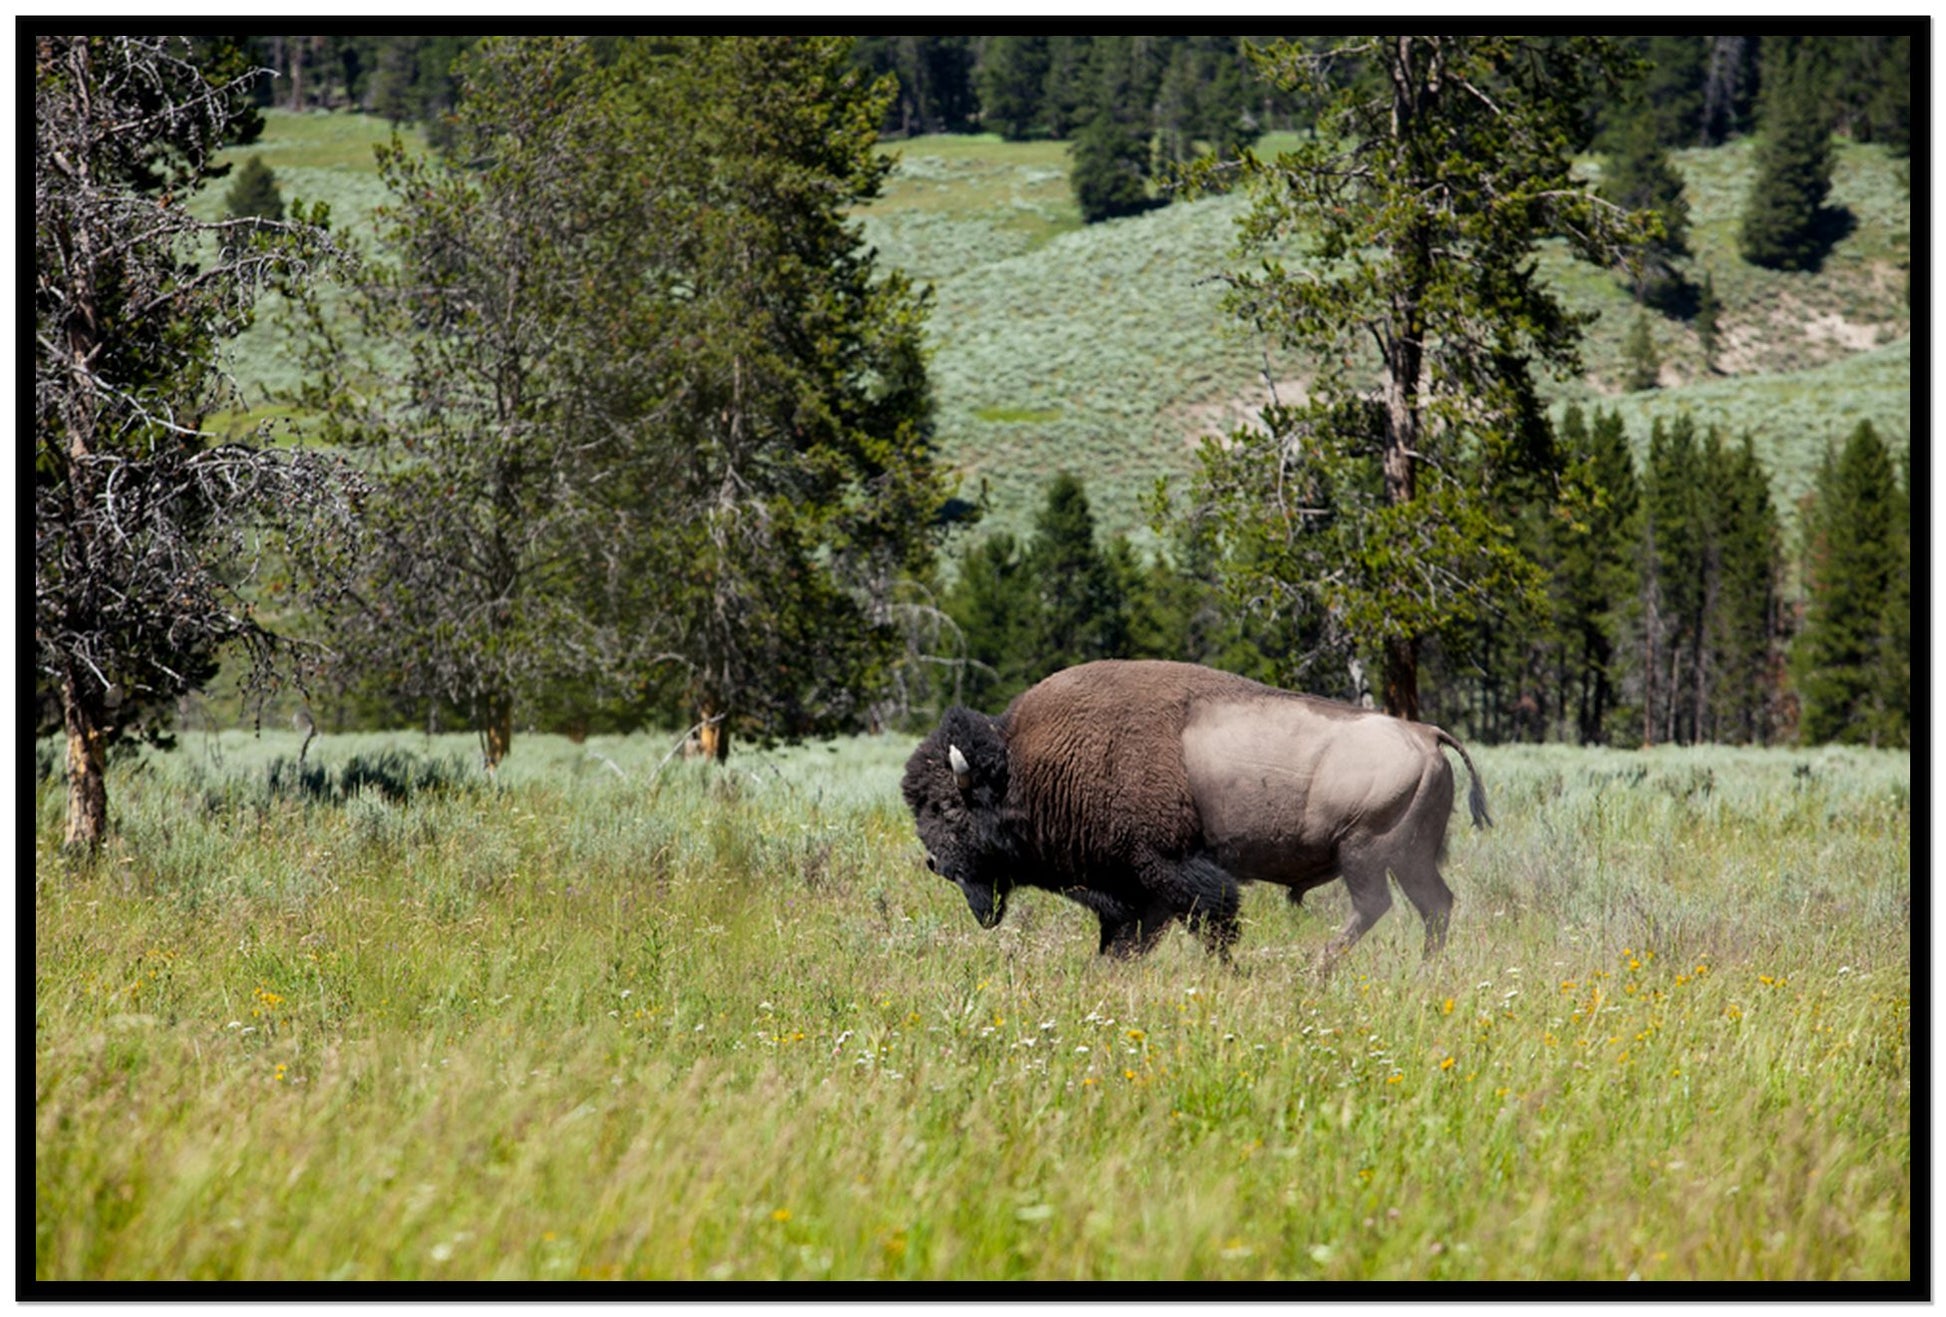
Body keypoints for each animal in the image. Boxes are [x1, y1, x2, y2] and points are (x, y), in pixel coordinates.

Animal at [902, 659, 1490, 964]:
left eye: (949, 809)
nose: (934, 863)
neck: (1026, 766)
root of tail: (1425, 734)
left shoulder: (1169, 870)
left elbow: (1212, 922)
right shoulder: (1135, 891)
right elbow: (1127, 940)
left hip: (1365, 853)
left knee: (1376, 907)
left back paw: (1316, 969)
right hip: (1409, 858)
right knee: (1435, 906)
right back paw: (1423, 970)